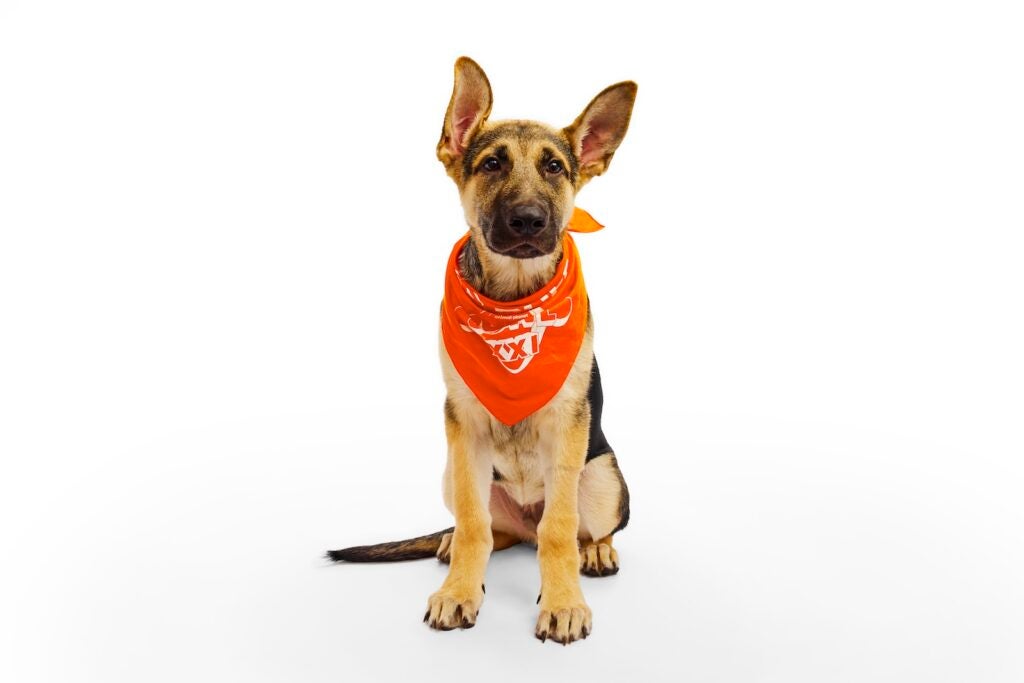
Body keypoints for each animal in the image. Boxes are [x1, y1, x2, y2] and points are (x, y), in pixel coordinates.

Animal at [327, 54, 634, 647]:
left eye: (555, 168)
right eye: (492, 163)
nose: (529, 221)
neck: (512, 301)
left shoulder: (568, 425)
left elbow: (559, 528)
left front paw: (563, 602)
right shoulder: (462, 425)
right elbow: (474, 524)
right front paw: (459, 592)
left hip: (603, 475)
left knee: (574, 528)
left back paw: (596, 550)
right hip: (452, 471)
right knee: (497, 531)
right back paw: (453, 546)